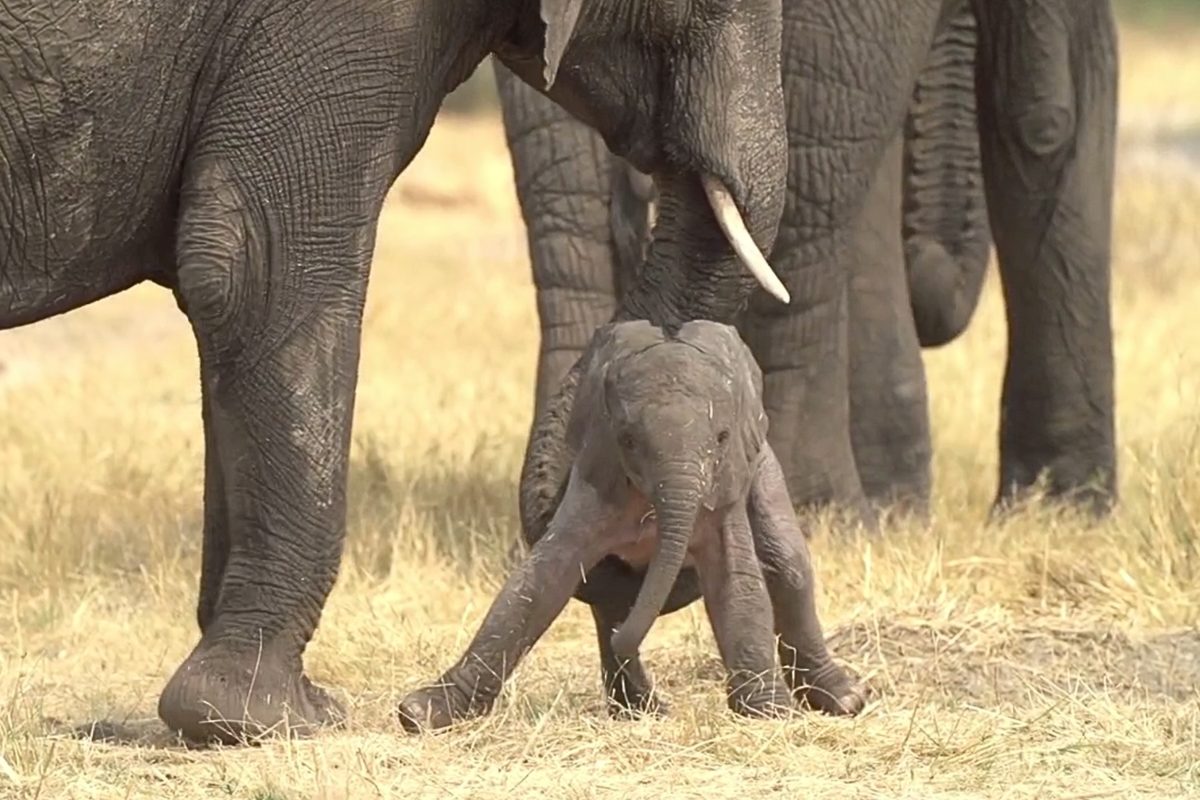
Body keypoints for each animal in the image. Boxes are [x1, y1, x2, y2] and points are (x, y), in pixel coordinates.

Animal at [397, 320, 866, 731]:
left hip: (763, 463)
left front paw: (769, 713)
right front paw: (421, 714)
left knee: (787, 564)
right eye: (628, 440)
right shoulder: (597, 468)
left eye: (722, 438)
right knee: (609, 599)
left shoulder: (729, 476)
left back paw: (845, 700)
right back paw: (640, 708)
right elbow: (544, 577)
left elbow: (736, 576)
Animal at [499, 0, 1119, 523]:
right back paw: (822, 510)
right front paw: (1068, 511)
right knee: (825, 125)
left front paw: (1056, 512)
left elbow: (1051, 106)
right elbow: (1049, 107)